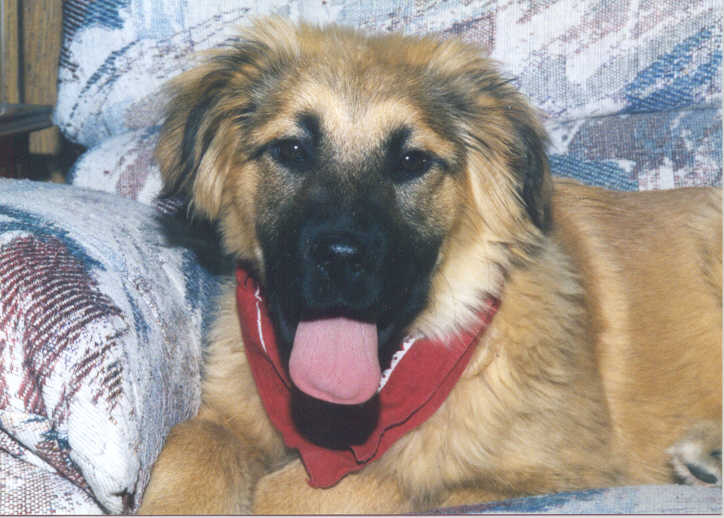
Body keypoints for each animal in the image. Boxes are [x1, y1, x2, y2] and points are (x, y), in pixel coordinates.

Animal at [139, 17, 720, 516]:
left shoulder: (562, 474)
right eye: (292, 150)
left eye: (412, 161)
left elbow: (351, 486)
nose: (340, 259)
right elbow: (191, 443)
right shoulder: (225, 422)